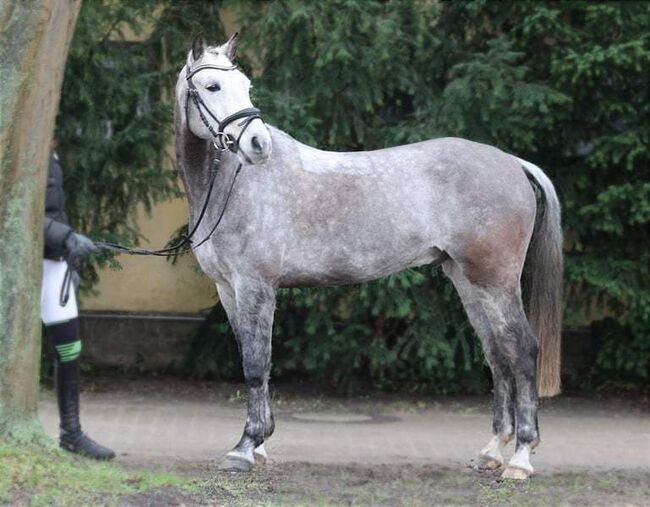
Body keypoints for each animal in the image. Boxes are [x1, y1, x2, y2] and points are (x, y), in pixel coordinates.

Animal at [173, 35, 560, 480]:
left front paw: (245, 447)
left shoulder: (256, 285)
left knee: (524, 352)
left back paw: (520, 459)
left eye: (247, 87)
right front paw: (260, 446)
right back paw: (493, 450)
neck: (232, 186)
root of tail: (513, 162)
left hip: (496, 281)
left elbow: (256, 364)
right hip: (469, 281)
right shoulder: (228, 289)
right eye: (213, 87)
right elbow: (254, 362)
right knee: (498, 355)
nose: (258, 145)